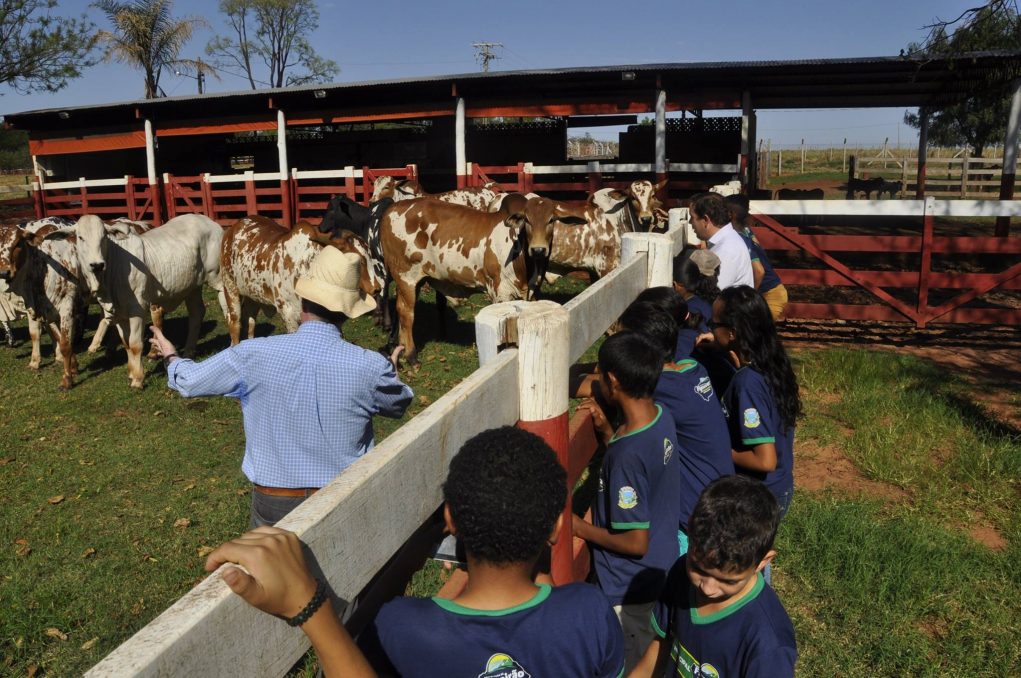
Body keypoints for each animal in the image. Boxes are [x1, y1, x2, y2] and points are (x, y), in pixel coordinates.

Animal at [0, 223, 87, 385]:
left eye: (18, 243)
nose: (4, 272)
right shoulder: (37, 309)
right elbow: (38, 333)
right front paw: (35, 362)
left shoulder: (66, 305)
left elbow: (64, 340)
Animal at [76, 214, 225, 390]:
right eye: (80, 237)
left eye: (104, 236)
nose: (97, 264)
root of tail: (210, 222)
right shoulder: (119, 314)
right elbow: (126, 344)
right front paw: (132, 373)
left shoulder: (137, 310)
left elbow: (135, 345)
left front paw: (138, 379)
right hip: (192, 287)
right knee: (197, 313)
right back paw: (189, 351)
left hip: (218, 278)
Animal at [220, 217, 383, 345]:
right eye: (359, 261)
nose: (377, 288)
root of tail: (233, 228)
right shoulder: (288, 313)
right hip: (230, 289)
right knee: (234, 324)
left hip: (252, 297)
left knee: (250, 323)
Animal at [379, 192, 579, 363]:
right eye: (527, 220)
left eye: (551, 219)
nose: (538, 249)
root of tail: (391, 209)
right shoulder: (500, 292)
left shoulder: (533, 292)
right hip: (406, 276)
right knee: (406, 313)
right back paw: (411, 356)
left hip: (415, 280)